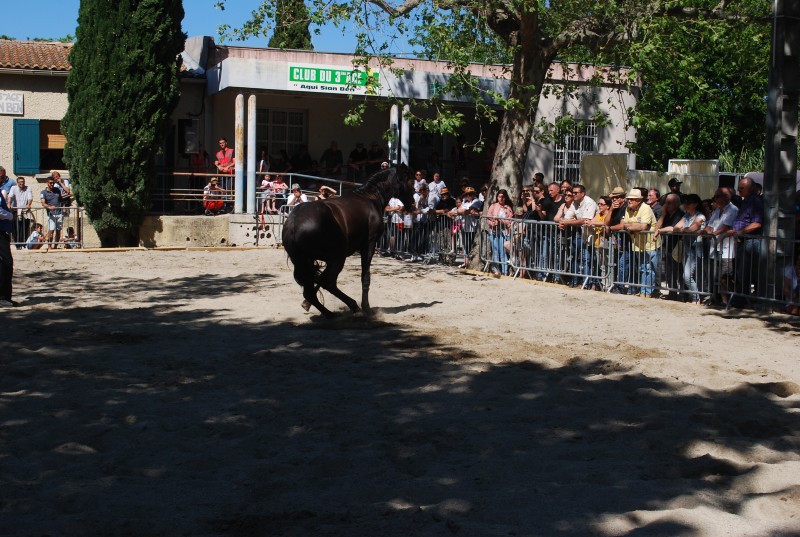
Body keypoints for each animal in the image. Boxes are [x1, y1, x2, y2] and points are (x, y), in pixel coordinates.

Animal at [282, 161, 416, 316]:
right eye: (410, 181)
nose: (413, 205)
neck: (370, 198)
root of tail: (293, 225)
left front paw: (306, 304)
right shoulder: (368, 245)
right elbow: (365, 277)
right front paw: (366, 306)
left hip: (309, 261)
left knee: (312, 287)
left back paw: (326, 312)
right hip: (337, 257)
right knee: (327, 281)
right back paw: (350, 306)